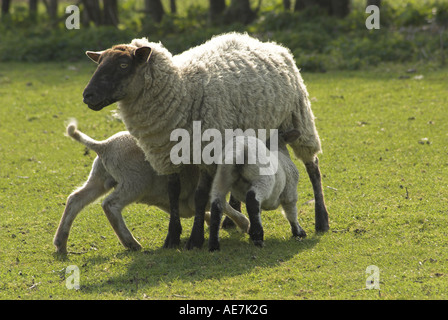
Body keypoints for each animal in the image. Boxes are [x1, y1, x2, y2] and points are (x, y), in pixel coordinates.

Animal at [53, 120, 250, 255]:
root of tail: (104, 146)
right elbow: (223, 205)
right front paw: (243, 224)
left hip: (100, 178)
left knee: (75, 199)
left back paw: (60, 242)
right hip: (134, 182)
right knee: (110, 204)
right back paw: (131, 243)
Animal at [83, 31, 328, 250]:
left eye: (124, 65)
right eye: (99, 63)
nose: (87, 95)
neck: (181, 92)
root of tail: (268, 44)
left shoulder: (206, 153)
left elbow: (201, 196)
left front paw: (196, 239)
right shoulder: (166, 154)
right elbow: (173, 193)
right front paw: (172, 238)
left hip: (298, 118)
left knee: (313, 167)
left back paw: (322, 221)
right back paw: (229, 221)